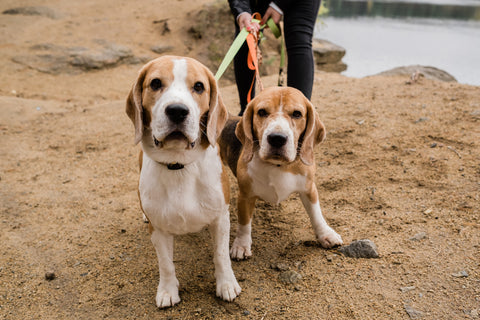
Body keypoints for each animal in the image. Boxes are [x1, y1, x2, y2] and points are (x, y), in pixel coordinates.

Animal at [126, 55, 242, 308]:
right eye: (155, 83)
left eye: (199, 86)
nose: (178, 111)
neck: (178, 165)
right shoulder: (158, 228)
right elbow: (166, 264)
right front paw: (168, 291)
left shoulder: (221, 218)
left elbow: (220, 256)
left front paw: (226, 284)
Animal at [219, 85, 344, 260]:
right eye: (262, 112)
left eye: (297, 114)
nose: (277, 138)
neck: (277, 165)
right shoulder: (245, 195)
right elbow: (244, 224)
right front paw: (241, 245)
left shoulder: (309, 189)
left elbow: (316, 214)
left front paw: (326, 234)